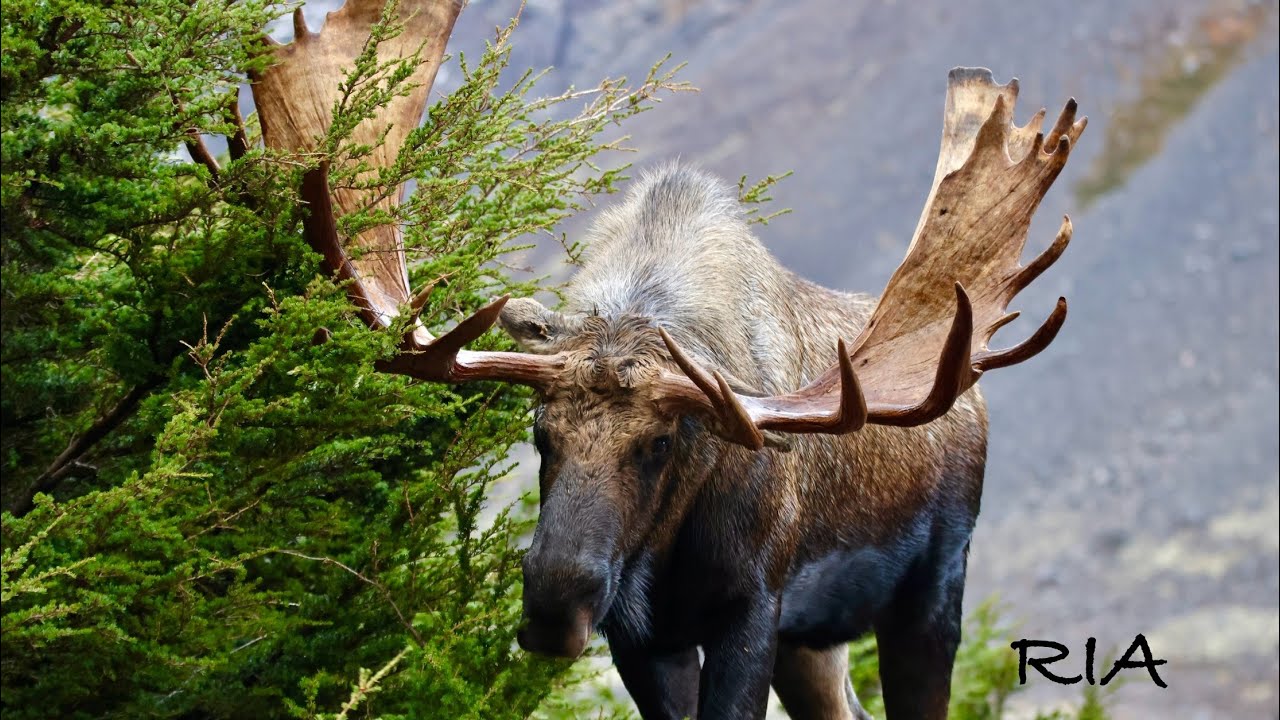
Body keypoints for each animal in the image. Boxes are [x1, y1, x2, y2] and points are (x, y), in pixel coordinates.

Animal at [251, 3, 1086, 719]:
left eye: (658, 444)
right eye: (540, 433)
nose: (553, 609)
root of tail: (969, 397)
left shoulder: (751, 610)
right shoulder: (644, 637)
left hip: (929, 594)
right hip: (814, 644)